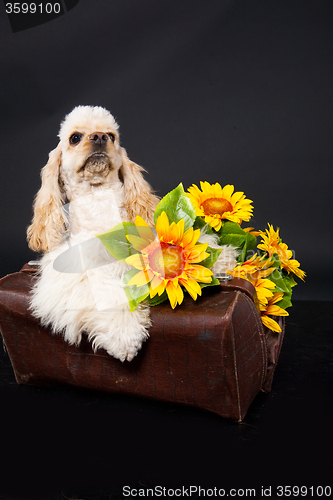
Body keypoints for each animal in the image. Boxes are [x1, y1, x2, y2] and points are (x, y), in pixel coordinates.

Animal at [27, 105, 237, 362]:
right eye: (74, 137)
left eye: (112, 136)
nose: (99, 137)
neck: (99, 197)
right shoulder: (77, 273)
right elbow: (109, 293)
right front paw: (126, 336)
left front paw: (221, 257)